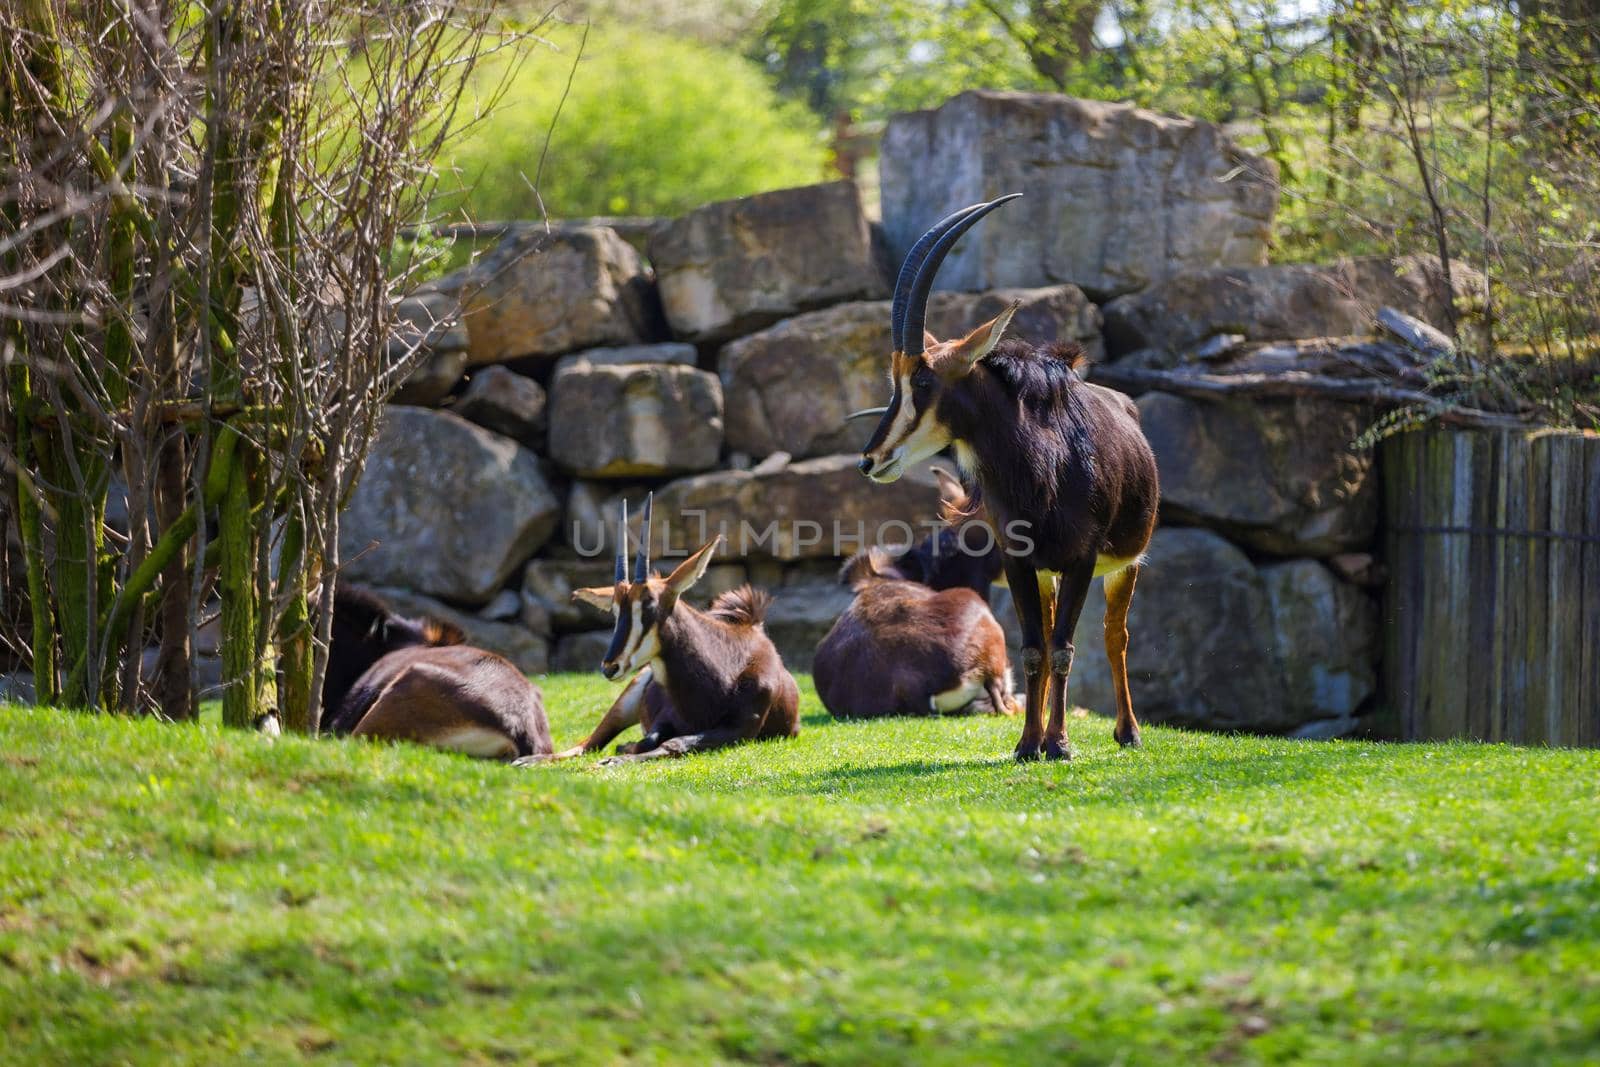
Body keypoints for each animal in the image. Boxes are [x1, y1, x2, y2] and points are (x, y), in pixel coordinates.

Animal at [528, 495, 800, 764]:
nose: (609, 667)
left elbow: (675, 742)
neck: (725, 671)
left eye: (648, 605)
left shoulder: (741, 730)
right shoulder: (666, 716)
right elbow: (651, 739)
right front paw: (623, 751)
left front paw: (618, 758)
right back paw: (530, 760)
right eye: (615, 612)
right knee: (587, 744)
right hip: (626, 700)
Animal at [857, 191, 1158, 758]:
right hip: (1045, 572)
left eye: (923, 380)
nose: (870, 459)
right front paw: (1028, 744)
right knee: (1052, 633)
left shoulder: (1083, 559)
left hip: (1124, 563)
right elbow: (1034, 648)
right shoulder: (1019, 561)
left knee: (1116, 636)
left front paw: (1060, 744)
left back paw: (1127, 731)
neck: (1041, 468)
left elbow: (1063, 649)